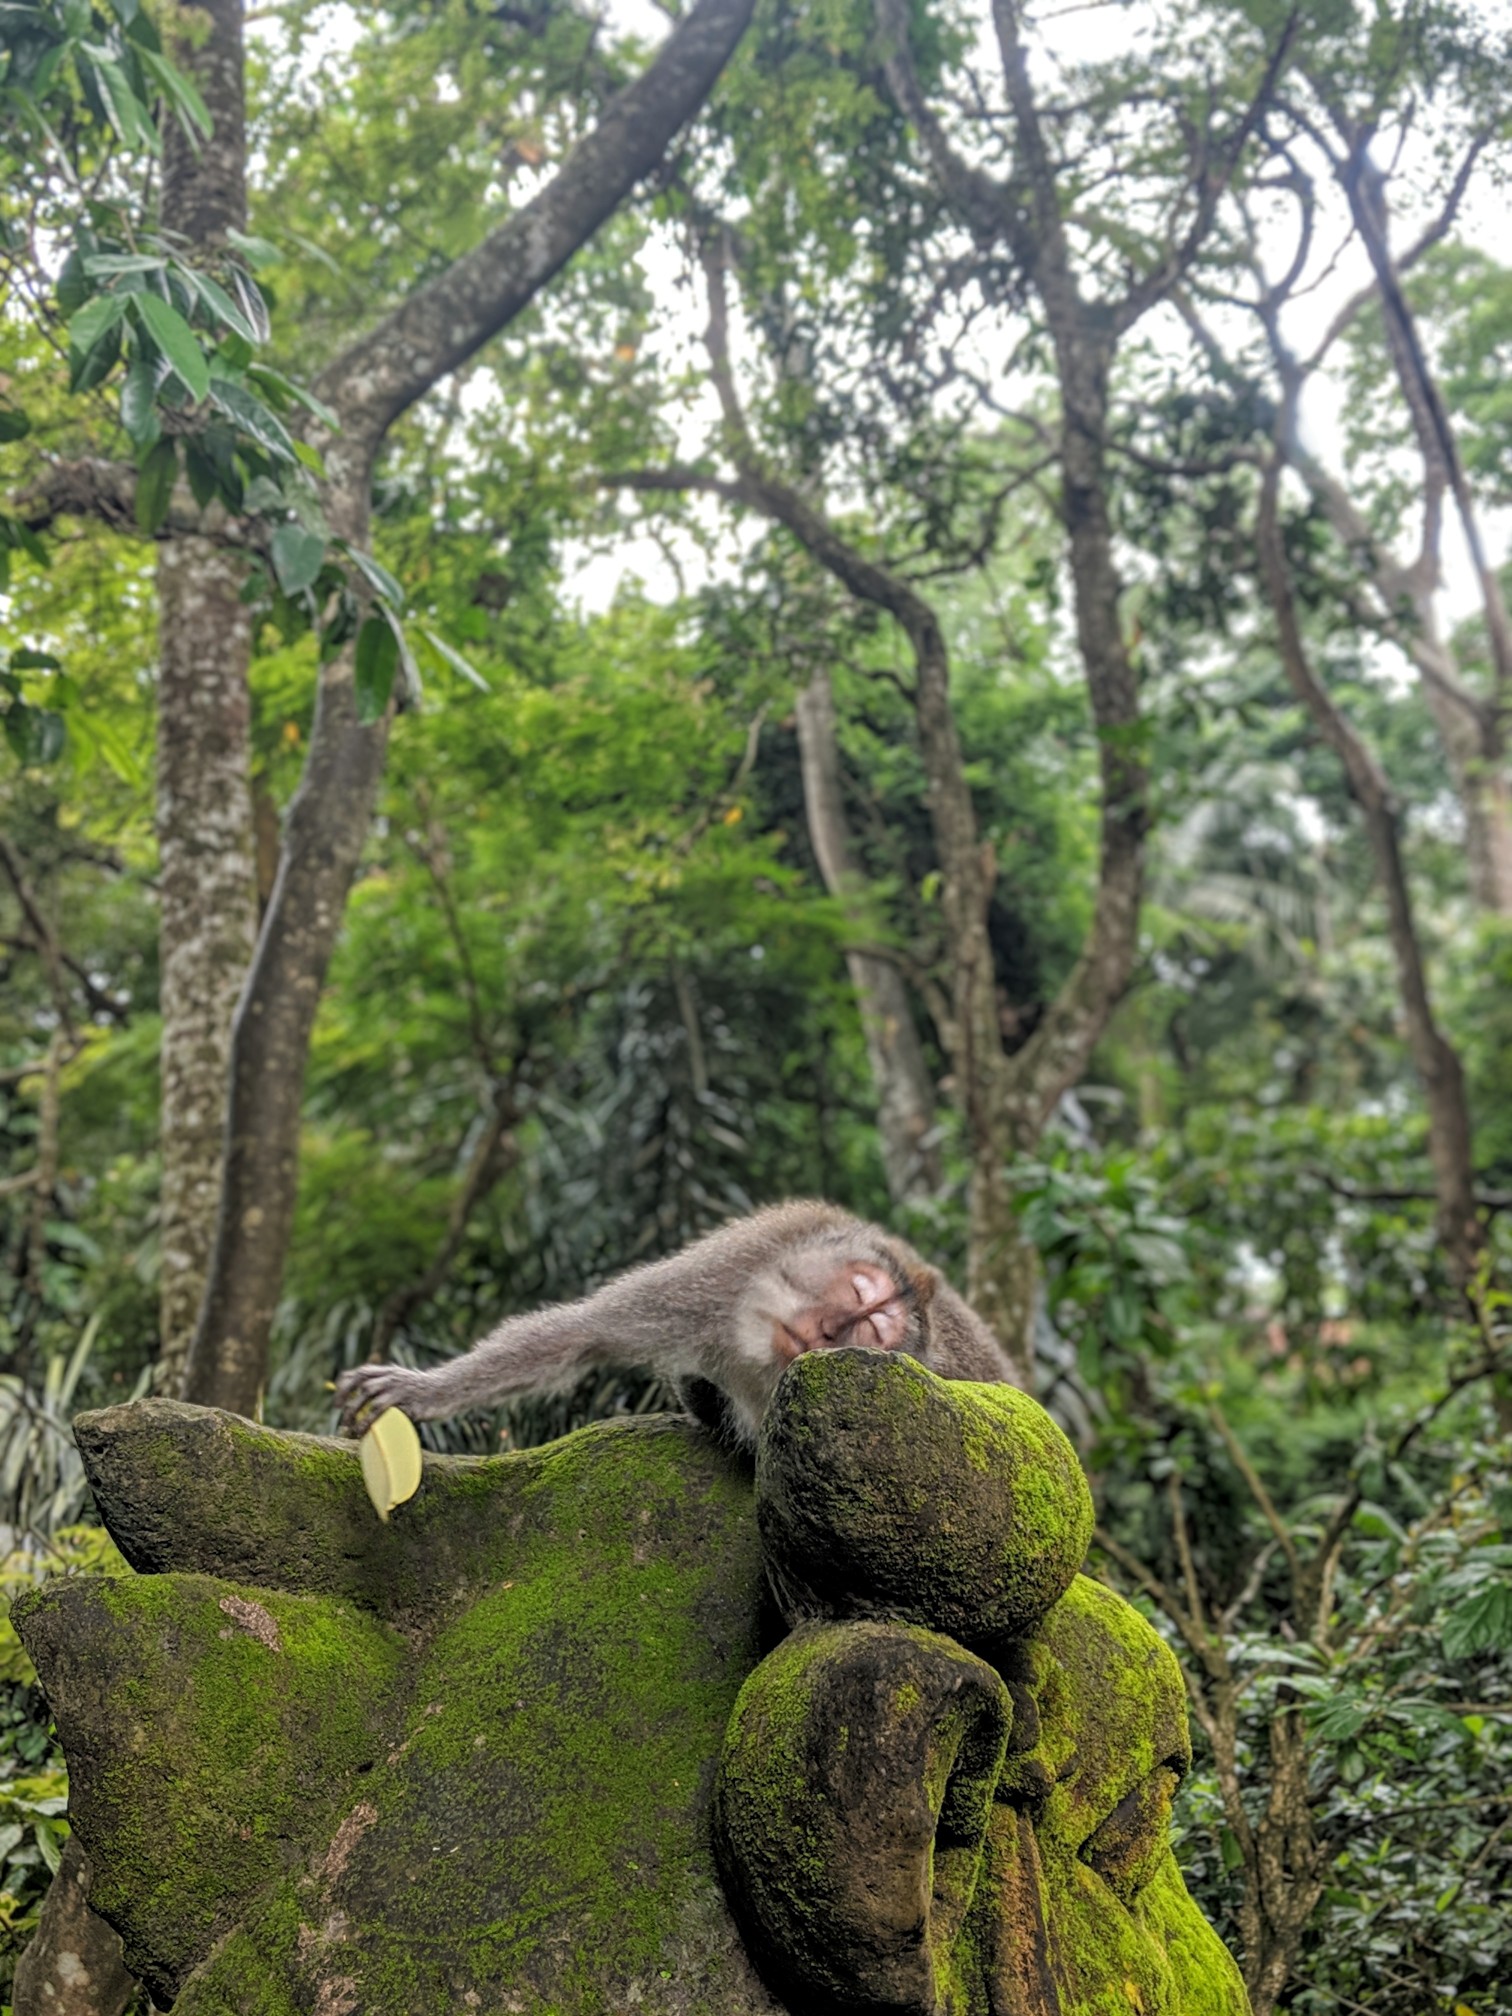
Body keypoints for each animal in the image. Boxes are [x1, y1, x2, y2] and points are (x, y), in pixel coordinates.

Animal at [330, 1193, 1020, 1451]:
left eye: (870, 1335)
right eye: (856, 1292)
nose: (826, 1333)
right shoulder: (733, 1269)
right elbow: (580, 1334)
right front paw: (425, 1390)